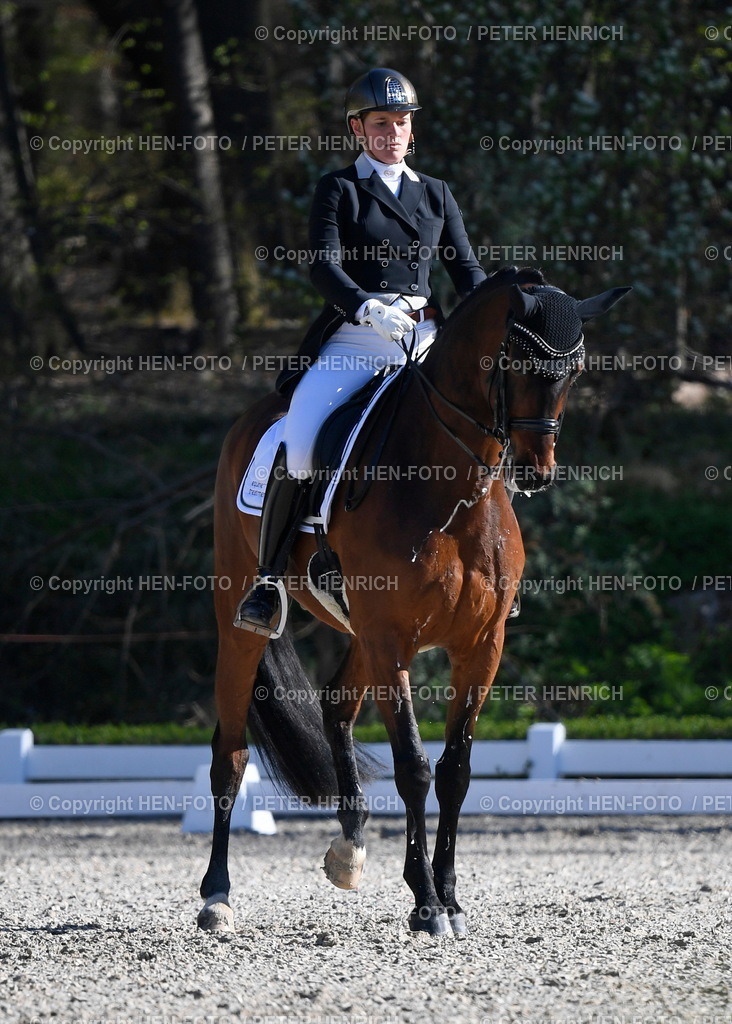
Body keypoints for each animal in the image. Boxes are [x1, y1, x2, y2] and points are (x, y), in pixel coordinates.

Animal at [196, 264, 630, 937]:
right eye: (514, 360)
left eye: (576, 370)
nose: (536, 471)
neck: (453, 491)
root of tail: (255, 417)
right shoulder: (393, 640)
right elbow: (414, 767)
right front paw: (426, 904)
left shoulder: (479, 646)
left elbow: (455, 771)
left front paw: (449, 897)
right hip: (247, 618)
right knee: (230, 753)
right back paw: (217, 897)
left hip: (360, 635)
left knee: (335, 708)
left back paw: (349, 849)